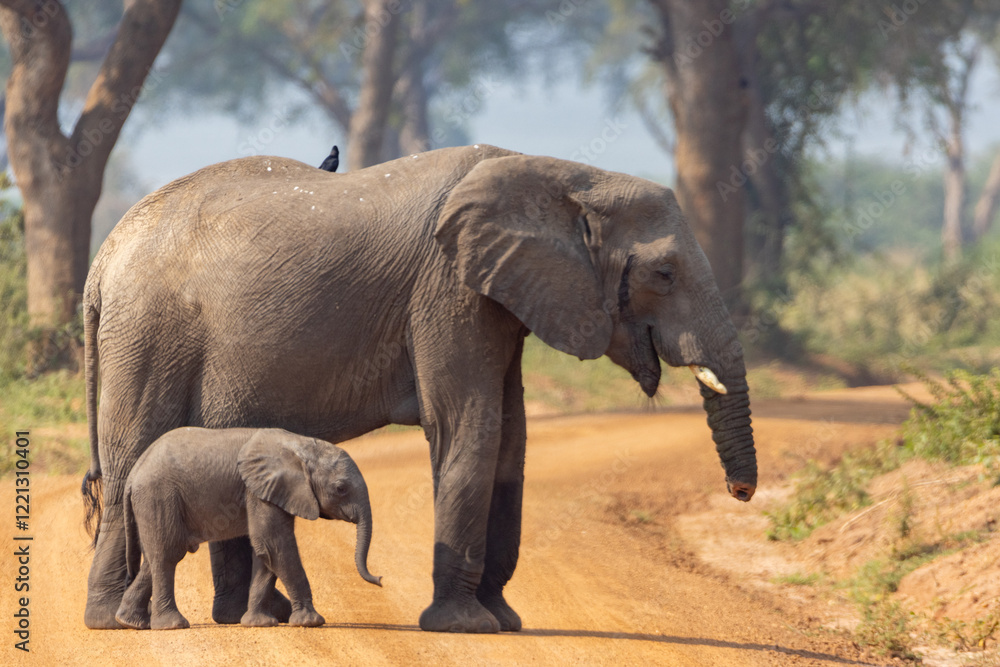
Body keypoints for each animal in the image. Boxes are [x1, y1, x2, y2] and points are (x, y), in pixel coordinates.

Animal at [114, 427, 381, 630]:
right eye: (341, 488)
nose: (379, 580)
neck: (300, 445)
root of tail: (133, 474)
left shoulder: (271, 492)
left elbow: (266, 552)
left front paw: (259, 623)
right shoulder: (259, 491)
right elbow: (275, 544)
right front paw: (311, 622)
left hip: (154, 501)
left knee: (153, 560)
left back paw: (131, 622)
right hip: (158, 496)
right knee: (167, 556)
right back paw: (172, 625)